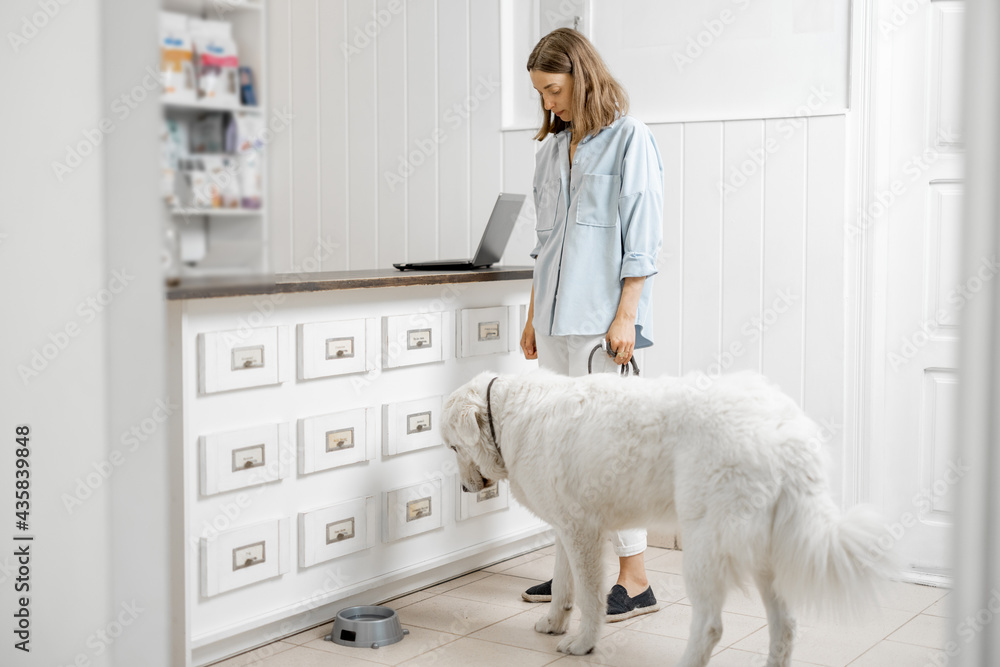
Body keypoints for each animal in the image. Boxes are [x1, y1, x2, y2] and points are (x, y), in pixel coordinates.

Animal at [442, 370, 896, 667]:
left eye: (451, 448)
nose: (462, 490)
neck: (509, 415)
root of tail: (785, 427)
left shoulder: (582, 532)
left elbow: (588, 598)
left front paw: (583, 643)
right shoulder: (565, 529)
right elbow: (562, 586)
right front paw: (554, 623)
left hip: (704, 549)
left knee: (711, 626)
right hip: (763, 554)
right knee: (785, 627)